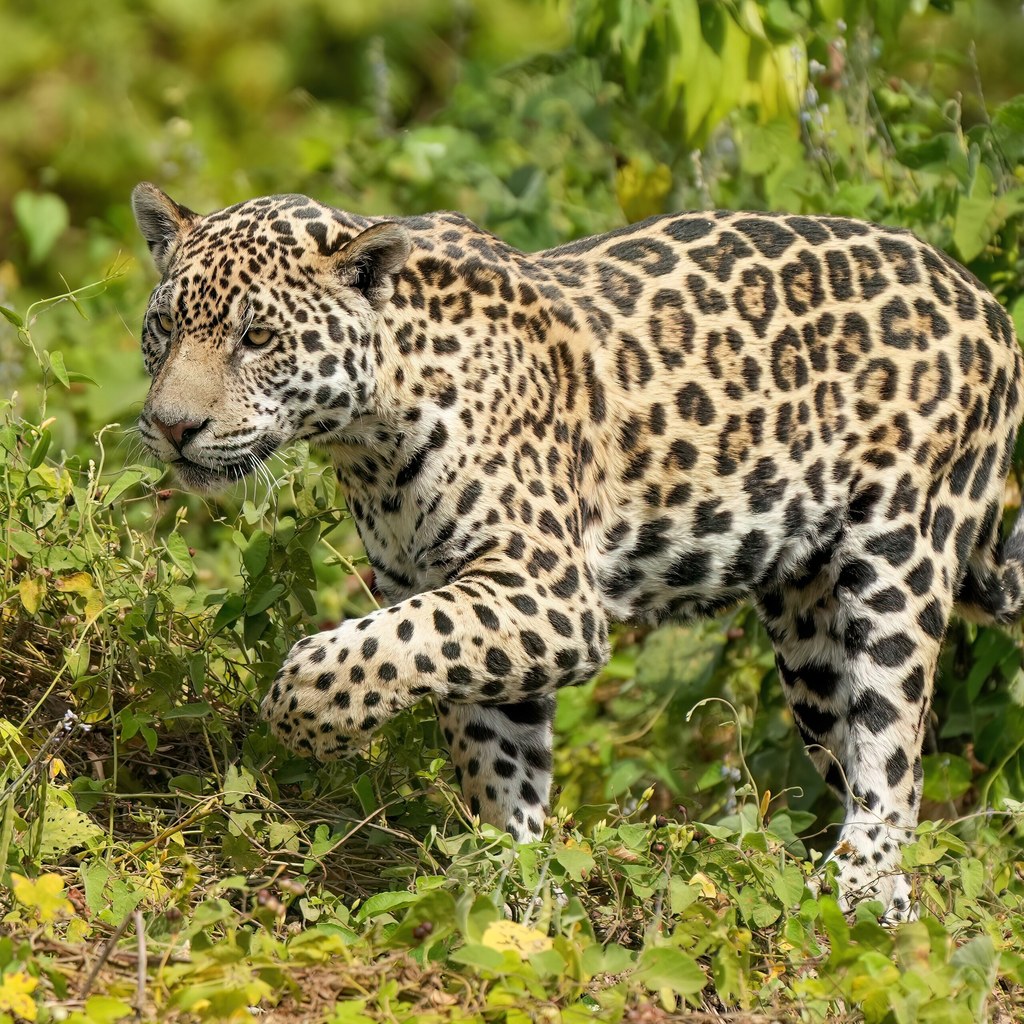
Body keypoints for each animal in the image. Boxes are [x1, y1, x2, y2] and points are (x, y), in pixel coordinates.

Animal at [131, 181, 1024, 921]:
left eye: (257, 336)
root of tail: (984, 299)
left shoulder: (547, 593)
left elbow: (363, 652)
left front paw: (305, 720)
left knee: (893, 752)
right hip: (809, 633)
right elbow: (488, 750)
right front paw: (516, 890)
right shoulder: (458, 596)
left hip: (898, 559)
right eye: (165, 327)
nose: (172, 427)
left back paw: (857, 889)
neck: (369, 437)